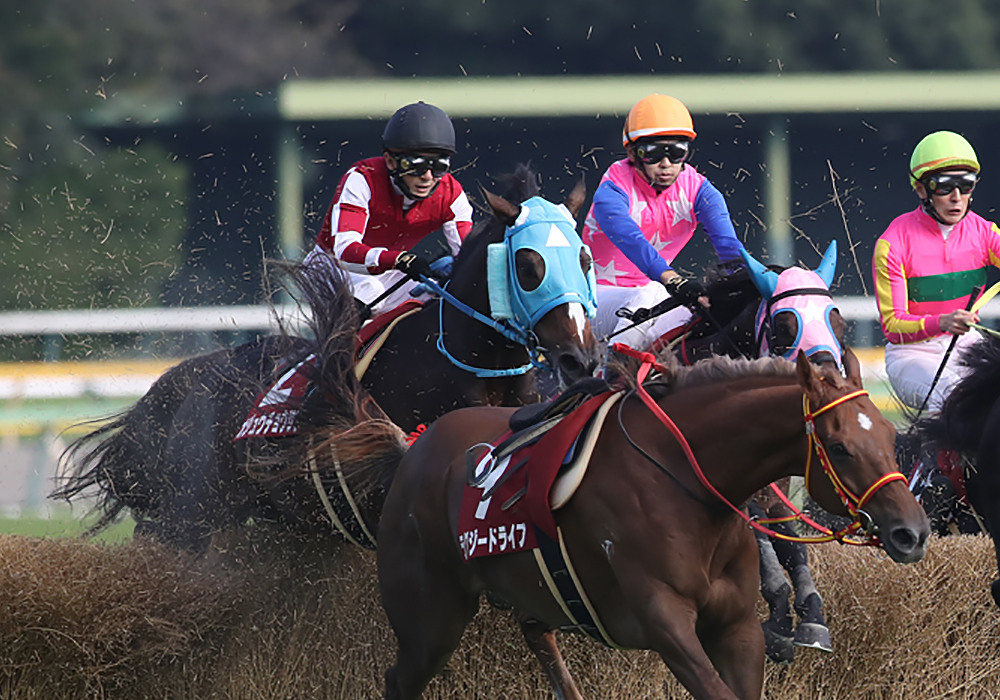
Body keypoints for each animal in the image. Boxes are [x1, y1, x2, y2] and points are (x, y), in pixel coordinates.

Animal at [54, 167, 596, 556]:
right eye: (529, 265)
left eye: (585, 258)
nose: (579, 358)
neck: (469, 362)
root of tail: (189, 379)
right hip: (192, 515)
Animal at [376, 350, 928, 700]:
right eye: (839, 446)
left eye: (887, 433)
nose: (913, 532)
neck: (685, 477)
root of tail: (413, 446)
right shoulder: (665, 618)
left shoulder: (736, 625)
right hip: (430, 621)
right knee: (399, 680)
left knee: (539, 638)